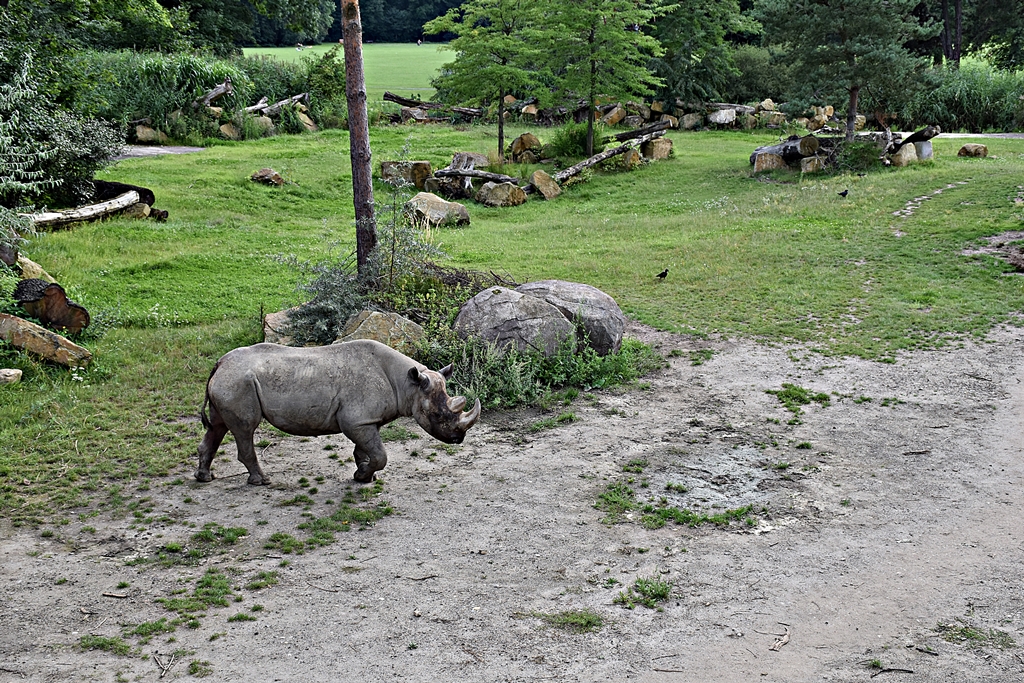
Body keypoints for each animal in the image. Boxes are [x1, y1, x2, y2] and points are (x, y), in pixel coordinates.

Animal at [195, 339, 481, 485]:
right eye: (439, 416)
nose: (458, 439)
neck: (408, 384)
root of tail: (220, 363)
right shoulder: (356, 421)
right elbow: (380, 454)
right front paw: (363, 477)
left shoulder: (366, 420)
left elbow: (366, 450)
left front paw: (364, 474)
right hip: (238, 383)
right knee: (245, 429)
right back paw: (262, 481)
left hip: (232, 381)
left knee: (218, 426)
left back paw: (205, 477)